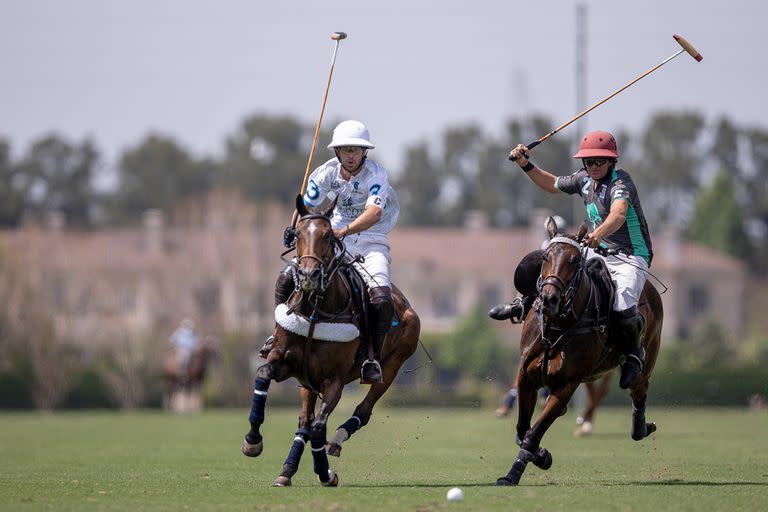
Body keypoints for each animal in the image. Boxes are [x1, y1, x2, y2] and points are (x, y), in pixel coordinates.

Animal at [240, 196, 420, 488]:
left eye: (327, 235)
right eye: (298, 234)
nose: (309, 275)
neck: (315, 311)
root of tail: (405, 302)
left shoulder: (333, 379)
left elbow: (318, 426)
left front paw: (325, 473)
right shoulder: (287, 362)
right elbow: (264, 374)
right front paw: (253, 441)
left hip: (393, 364)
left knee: (362, 410)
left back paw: (336, 441)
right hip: (307, 381)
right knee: (304, 420)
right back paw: (287, 470)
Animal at [496, 218, 664, 486]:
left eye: (575, 261)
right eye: (545, 257)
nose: (549, 299)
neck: (558, 326)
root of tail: (651, 290)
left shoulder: (567, 384)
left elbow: (533, 432)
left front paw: (513, 474)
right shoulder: (526, 376)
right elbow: (523, 429)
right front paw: (540, 455)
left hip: (643, 360)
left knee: (637, 387)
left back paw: (638, 427)